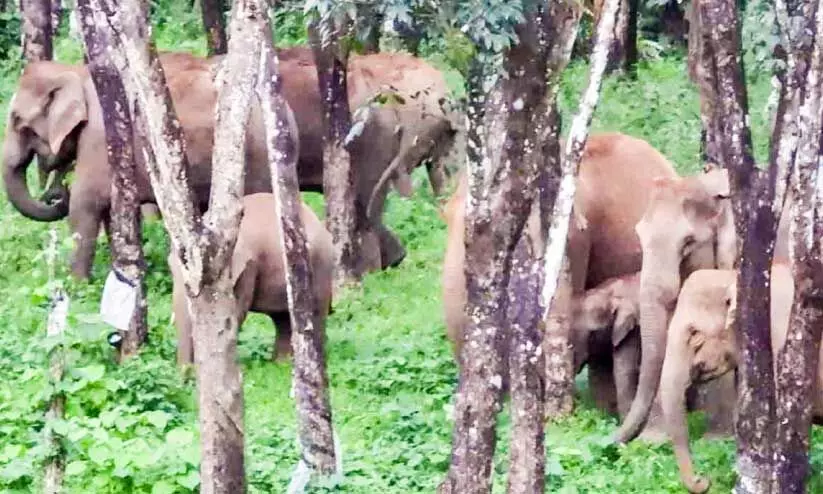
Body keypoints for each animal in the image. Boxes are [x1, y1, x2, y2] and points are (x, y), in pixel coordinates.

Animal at [3, 47, 456, 279]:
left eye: (18, 122)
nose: (54, 188)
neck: (76, 71)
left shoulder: (101, 136)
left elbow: (87, 205)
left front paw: (76, 284)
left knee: (361, 200)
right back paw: (392, 260)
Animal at [169, 193, 334, 365]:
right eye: (171, 269)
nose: (187, 370)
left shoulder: (249, 267)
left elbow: (237, 312)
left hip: (321, 266)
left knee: (315, 313)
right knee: (282, 319)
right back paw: (279, 364)